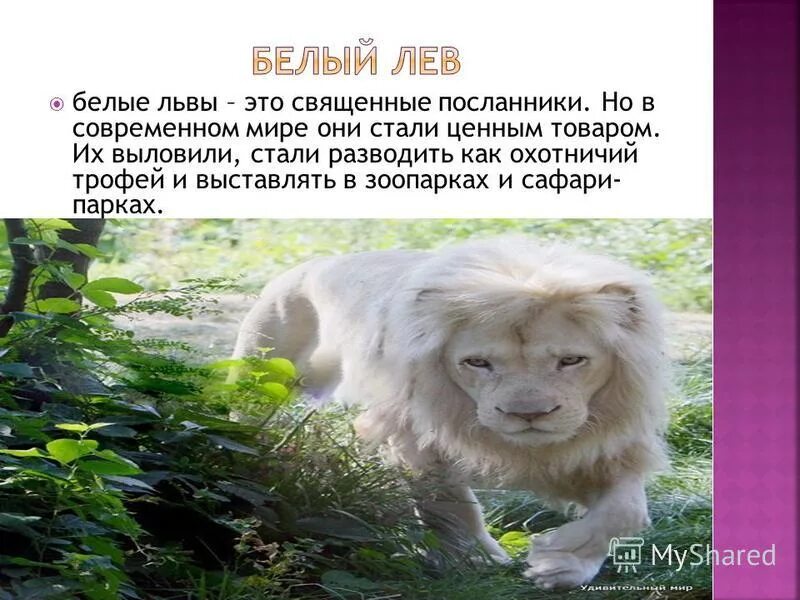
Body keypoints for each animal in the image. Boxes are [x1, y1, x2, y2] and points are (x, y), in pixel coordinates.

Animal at [231, 237, 669, 589]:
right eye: (477, 363)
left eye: (571, 360)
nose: (528, 414)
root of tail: (314, 264)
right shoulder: (415, 436)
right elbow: (449, 504)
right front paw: (476, 558)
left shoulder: (610, 445)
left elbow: (626, 512)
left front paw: (561, 563)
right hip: (261, 373)